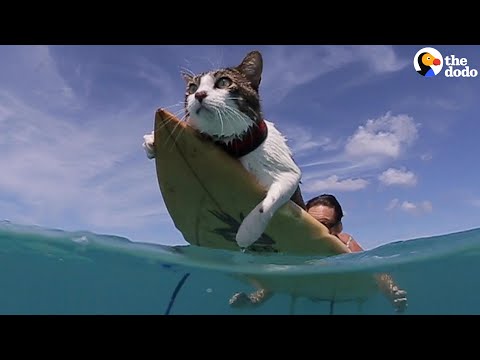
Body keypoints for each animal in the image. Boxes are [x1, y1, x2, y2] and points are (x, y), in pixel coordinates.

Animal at [142, 50, 306, 250]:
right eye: (192, 87)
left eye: (223, 82)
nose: (199, 94)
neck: (231, 144)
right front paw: (151, 139)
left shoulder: (288, 173)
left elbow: (268, 202)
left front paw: (247, 232)